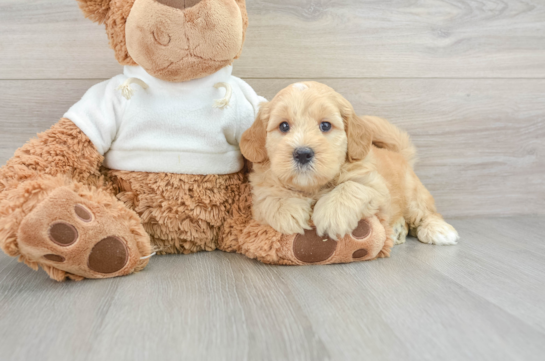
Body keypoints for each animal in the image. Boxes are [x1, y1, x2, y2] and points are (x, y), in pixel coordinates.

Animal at [240, 81, 456, 245]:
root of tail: (399, 155)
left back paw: (438, 230)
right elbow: (271, 195)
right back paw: (397, 230)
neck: (313, 188)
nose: (302, 153)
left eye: (325, 125)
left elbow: (351, 187)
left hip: (414, 195)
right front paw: (288, 211)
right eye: (284, 126)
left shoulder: (376, 187)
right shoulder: (259, 193)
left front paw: (331, 215)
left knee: (427, 212)